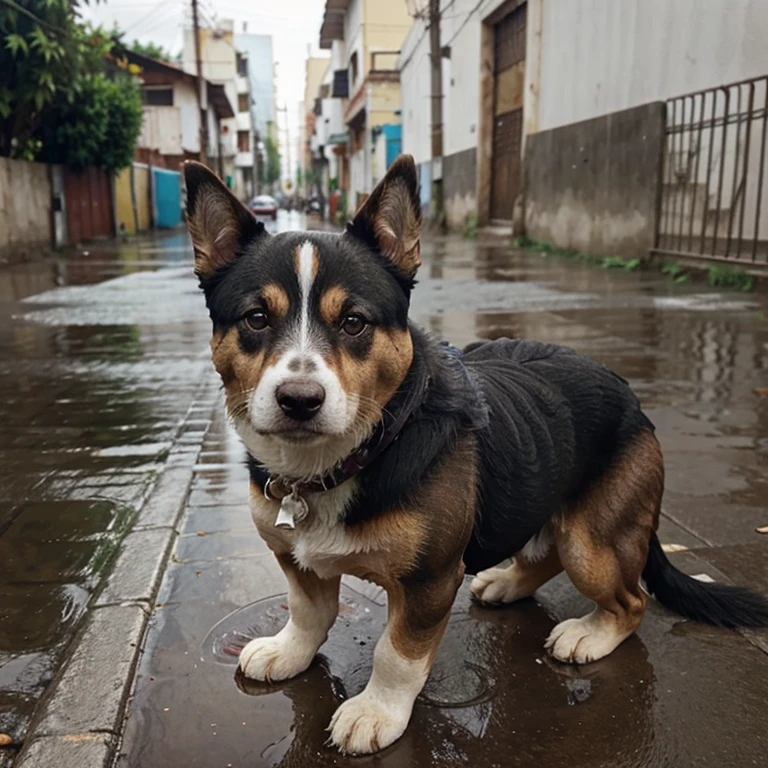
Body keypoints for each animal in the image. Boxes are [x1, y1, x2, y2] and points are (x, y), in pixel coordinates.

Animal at [183, 153, 768, 752]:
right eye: (256, 318)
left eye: (354, 322)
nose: (299, 401)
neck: (358, 452)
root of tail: (632, 400)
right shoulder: (295, 558)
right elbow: (307, 612)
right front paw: (290, 651)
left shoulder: (430, 582)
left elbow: (397, 654)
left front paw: (377, 710)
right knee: (543, 549)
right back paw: (509, 581)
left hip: (594, 543)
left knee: (630, 599)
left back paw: (591, 634)